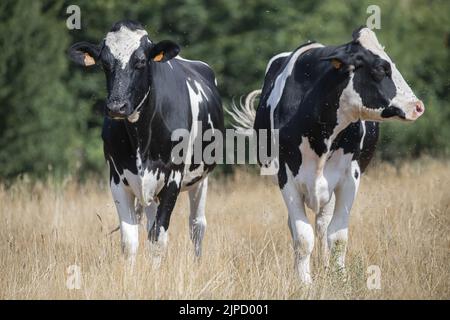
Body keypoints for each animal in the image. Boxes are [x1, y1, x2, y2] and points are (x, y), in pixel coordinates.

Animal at [69, 20, 224, 262]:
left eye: (141, 61)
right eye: (105, 63)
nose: (117, 107)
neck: (141, 135)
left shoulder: (173, 179)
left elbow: (159, 239)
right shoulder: (117, 180)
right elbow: (130, 241)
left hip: (201, 178)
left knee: (197, 226)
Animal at [230, 26, 424, 282]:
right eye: (381, 69)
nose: (418, 106)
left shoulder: (349, 177)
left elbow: (338, 236)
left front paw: (339, 278)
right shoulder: (286, 178)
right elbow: (302, 237)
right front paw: (304, 282)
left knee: (323, 225)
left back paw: (325, 266)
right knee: (299, 226)